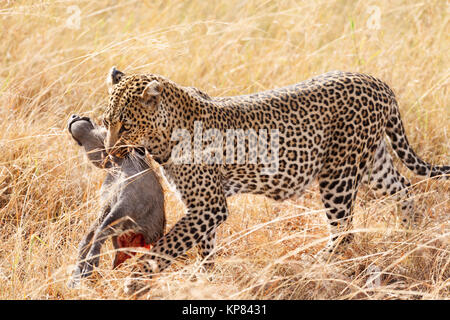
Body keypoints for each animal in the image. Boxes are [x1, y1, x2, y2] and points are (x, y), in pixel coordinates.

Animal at [102, 67, 450, 296]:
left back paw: (313, 265)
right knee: (403, 187)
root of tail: (378, 82)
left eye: (126, 125)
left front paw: (136, 280)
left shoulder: (210, 205)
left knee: (344, 230)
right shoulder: (201, 206)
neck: (163, 135)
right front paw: (205, 279)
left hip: (338, 173)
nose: (108, 153)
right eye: (106, 122)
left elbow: (168, 245)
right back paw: (410, 236)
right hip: (372, 161)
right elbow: (204, 246)